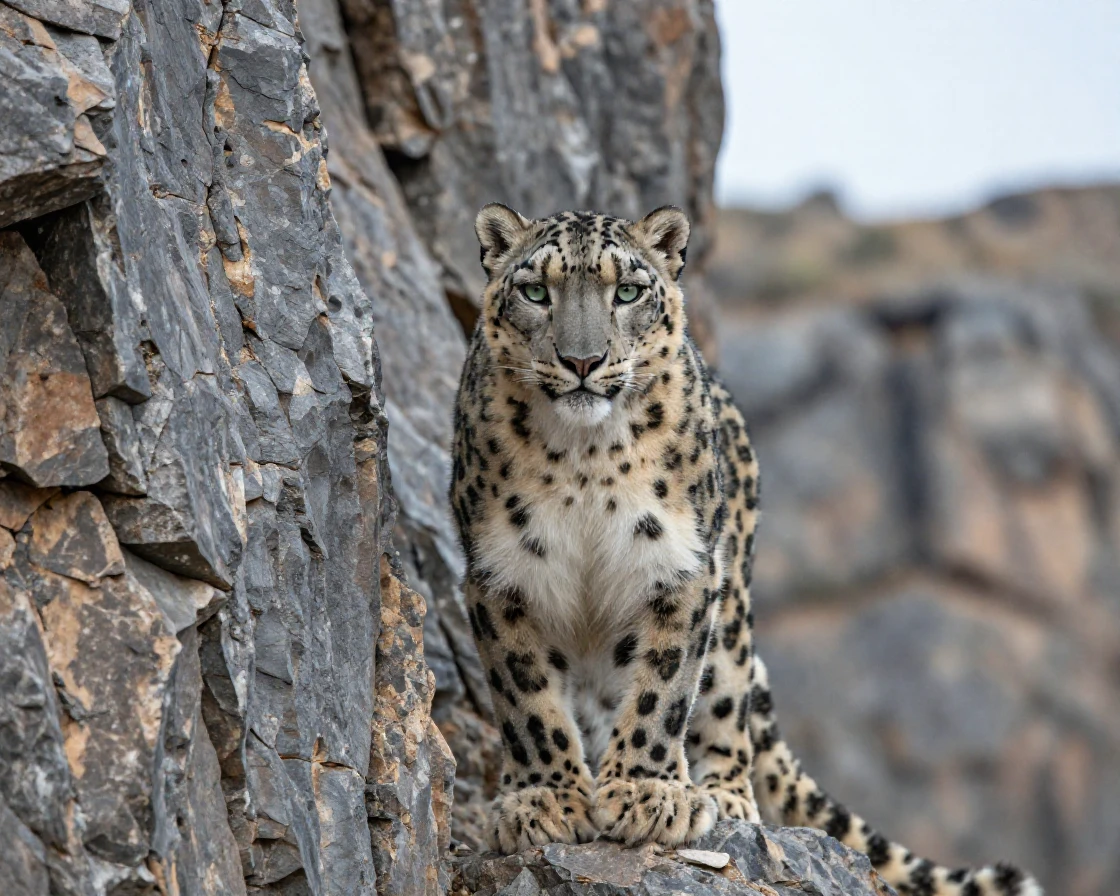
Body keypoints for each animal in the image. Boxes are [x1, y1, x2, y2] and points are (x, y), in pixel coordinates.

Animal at [448, 202, 1042, 896]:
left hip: (731, 616)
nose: (583, 360)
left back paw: (723, 796)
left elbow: (661, 690)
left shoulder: (678, 570)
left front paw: (646, 794)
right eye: (536, 292)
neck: (584, 460)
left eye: (627, 292)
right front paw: (544, 799)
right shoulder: (501, 576)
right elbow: (527, 701)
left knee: (726, 707)